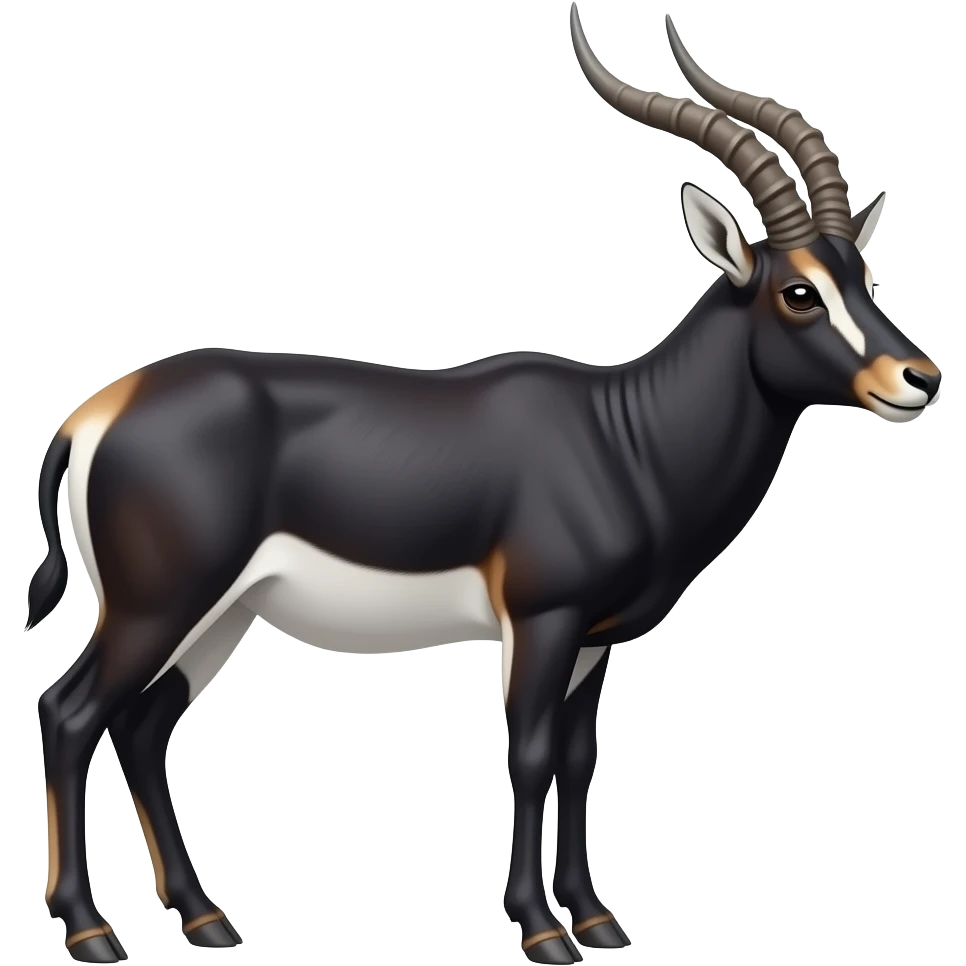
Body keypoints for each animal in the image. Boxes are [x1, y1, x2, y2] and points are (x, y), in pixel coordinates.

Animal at [30, 9, 942, 965]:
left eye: (863, 276)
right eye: (799, 291)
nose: (919, 378)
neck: (623, 438)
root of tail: (95, 413)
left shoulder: (594, 639)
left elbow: (580, 760)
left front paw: (598, 918)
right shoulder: (541, 621)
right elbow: (530, 755)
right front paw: (543, 930)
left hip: (220, 613)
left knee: (142, 726)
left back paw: (205, 918)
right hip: (157, 605)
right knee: (70, 712)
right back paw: (91, 931)